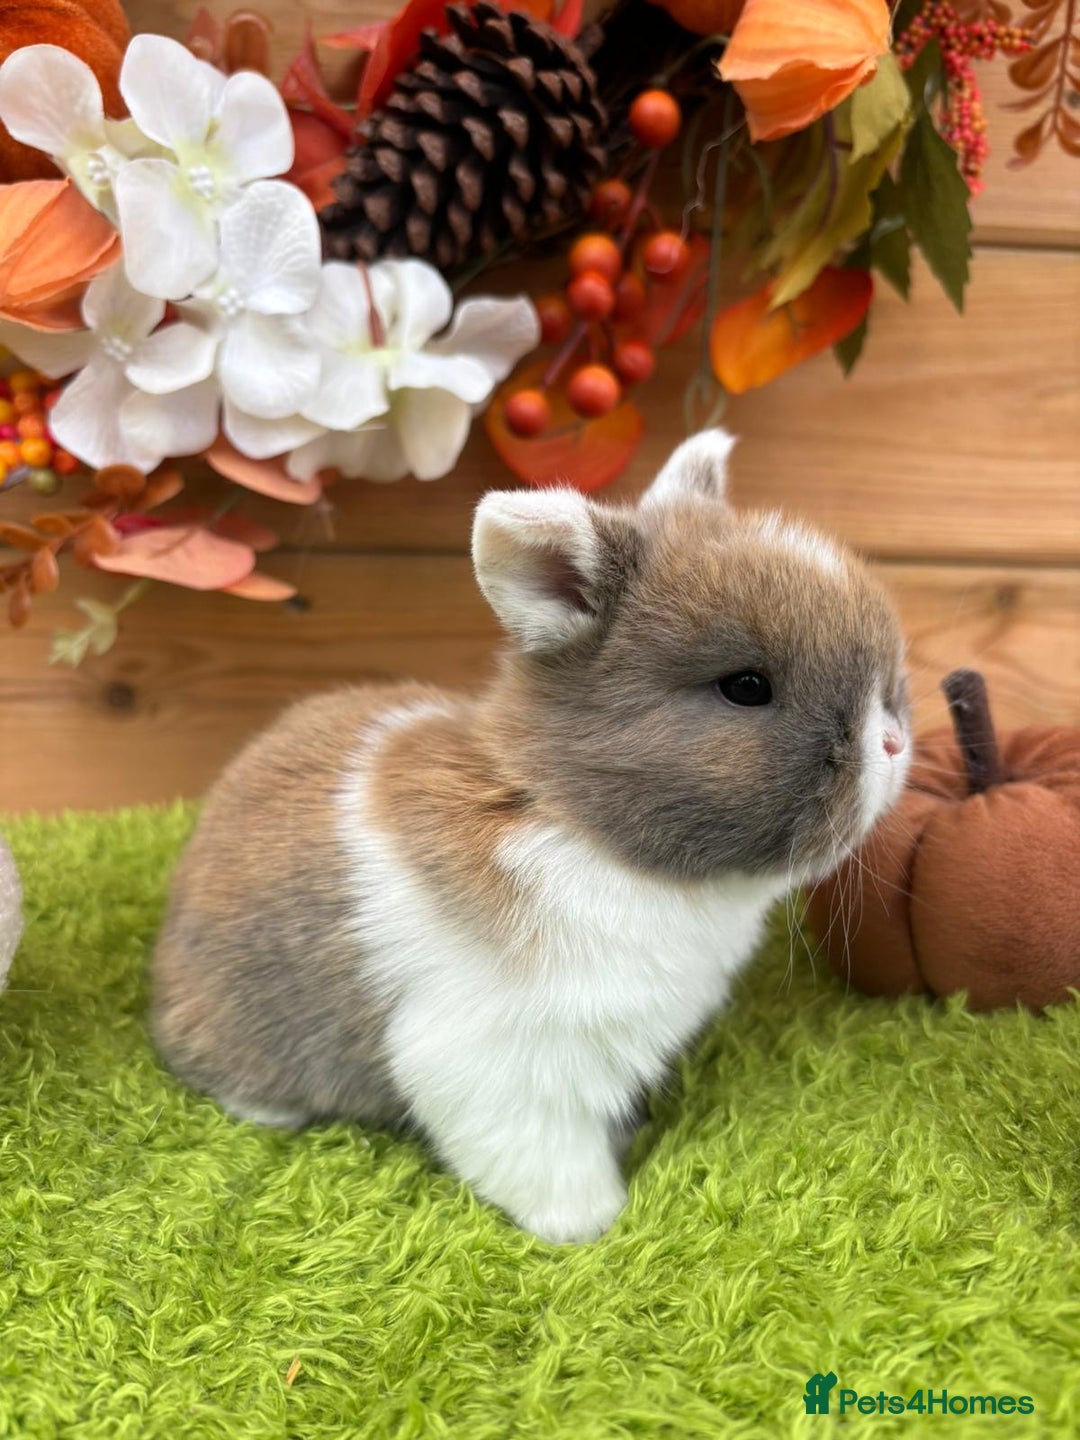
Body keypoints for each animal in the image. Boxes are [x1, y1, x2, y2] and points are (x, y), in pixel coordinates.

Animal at [152, 429, 911, 1244]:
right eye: (746, 687)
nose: (893, 742)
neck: (576, 824)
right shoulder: (495, 1064)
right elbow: (543, 1156)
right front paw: (592, 1224)